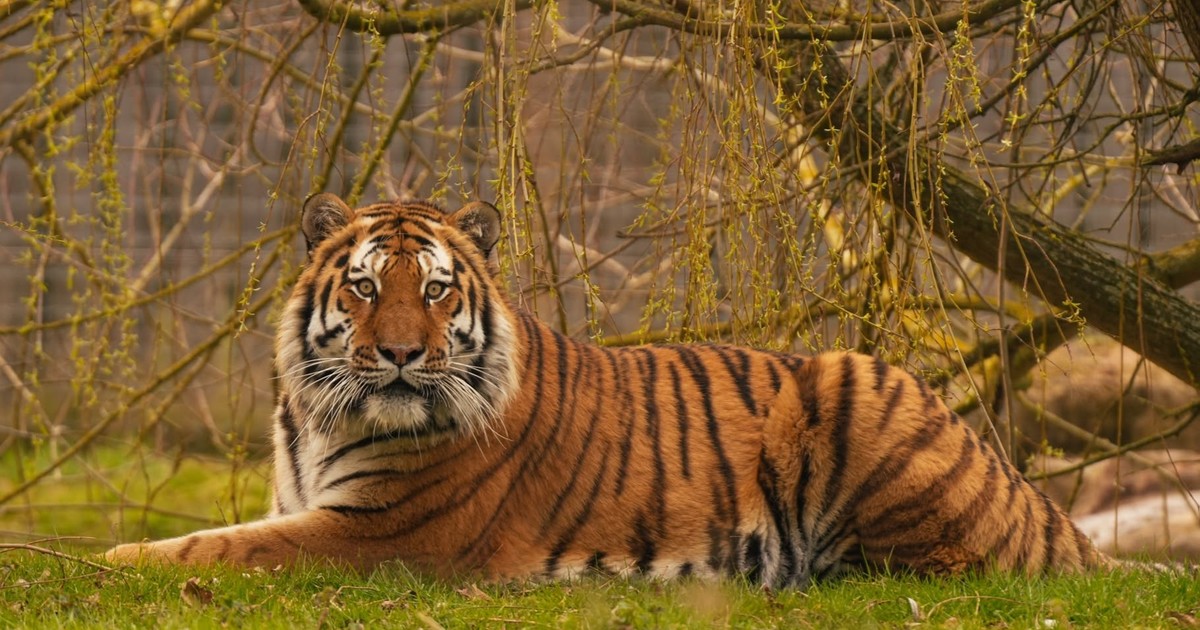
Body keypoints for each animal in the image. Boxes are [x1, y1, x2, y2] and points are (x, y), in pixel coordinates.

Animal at [105, 192, 1116, 587]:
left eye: (433, 291)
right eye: (361, 287)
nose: (395, 354)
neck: (320, 420)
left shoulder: (379, 532)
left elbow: (215, 548)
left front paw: (94, 559)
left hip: (857, 388)